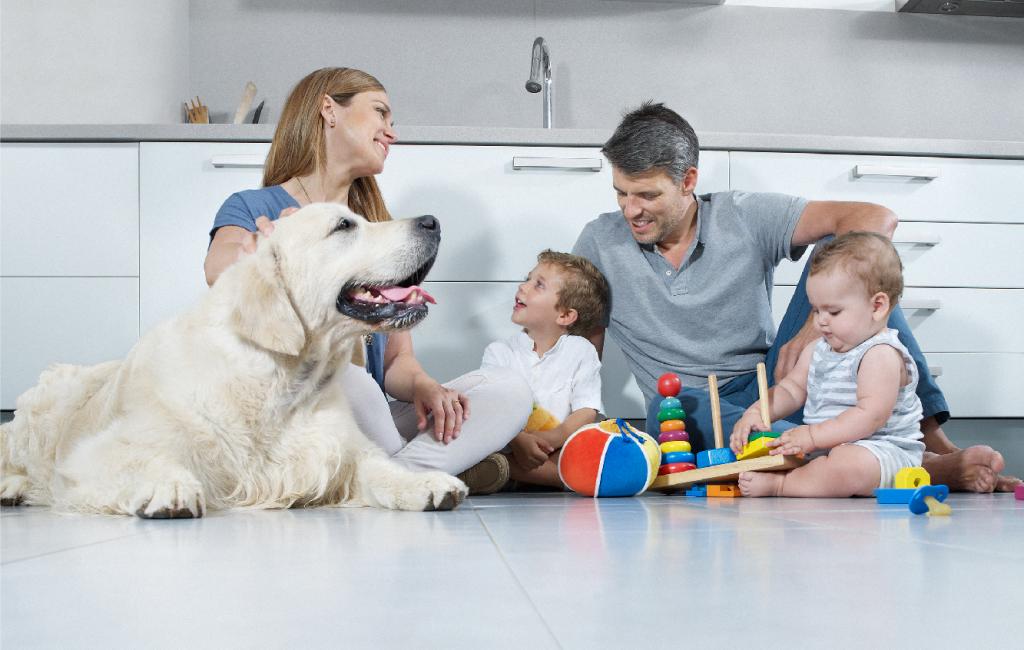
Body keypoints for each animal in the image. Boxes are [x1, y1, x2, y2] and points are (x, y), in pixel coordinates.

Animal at [1, 203, 468, 517]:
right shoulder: (91, 456)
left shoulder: (337, 451)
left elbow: (379, 469)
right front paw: (169, 486)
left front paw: (426, 484)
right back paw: (12, 487)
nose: (433, 221)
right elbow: (139, 459)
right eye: (344, 225)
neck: (277, 388)